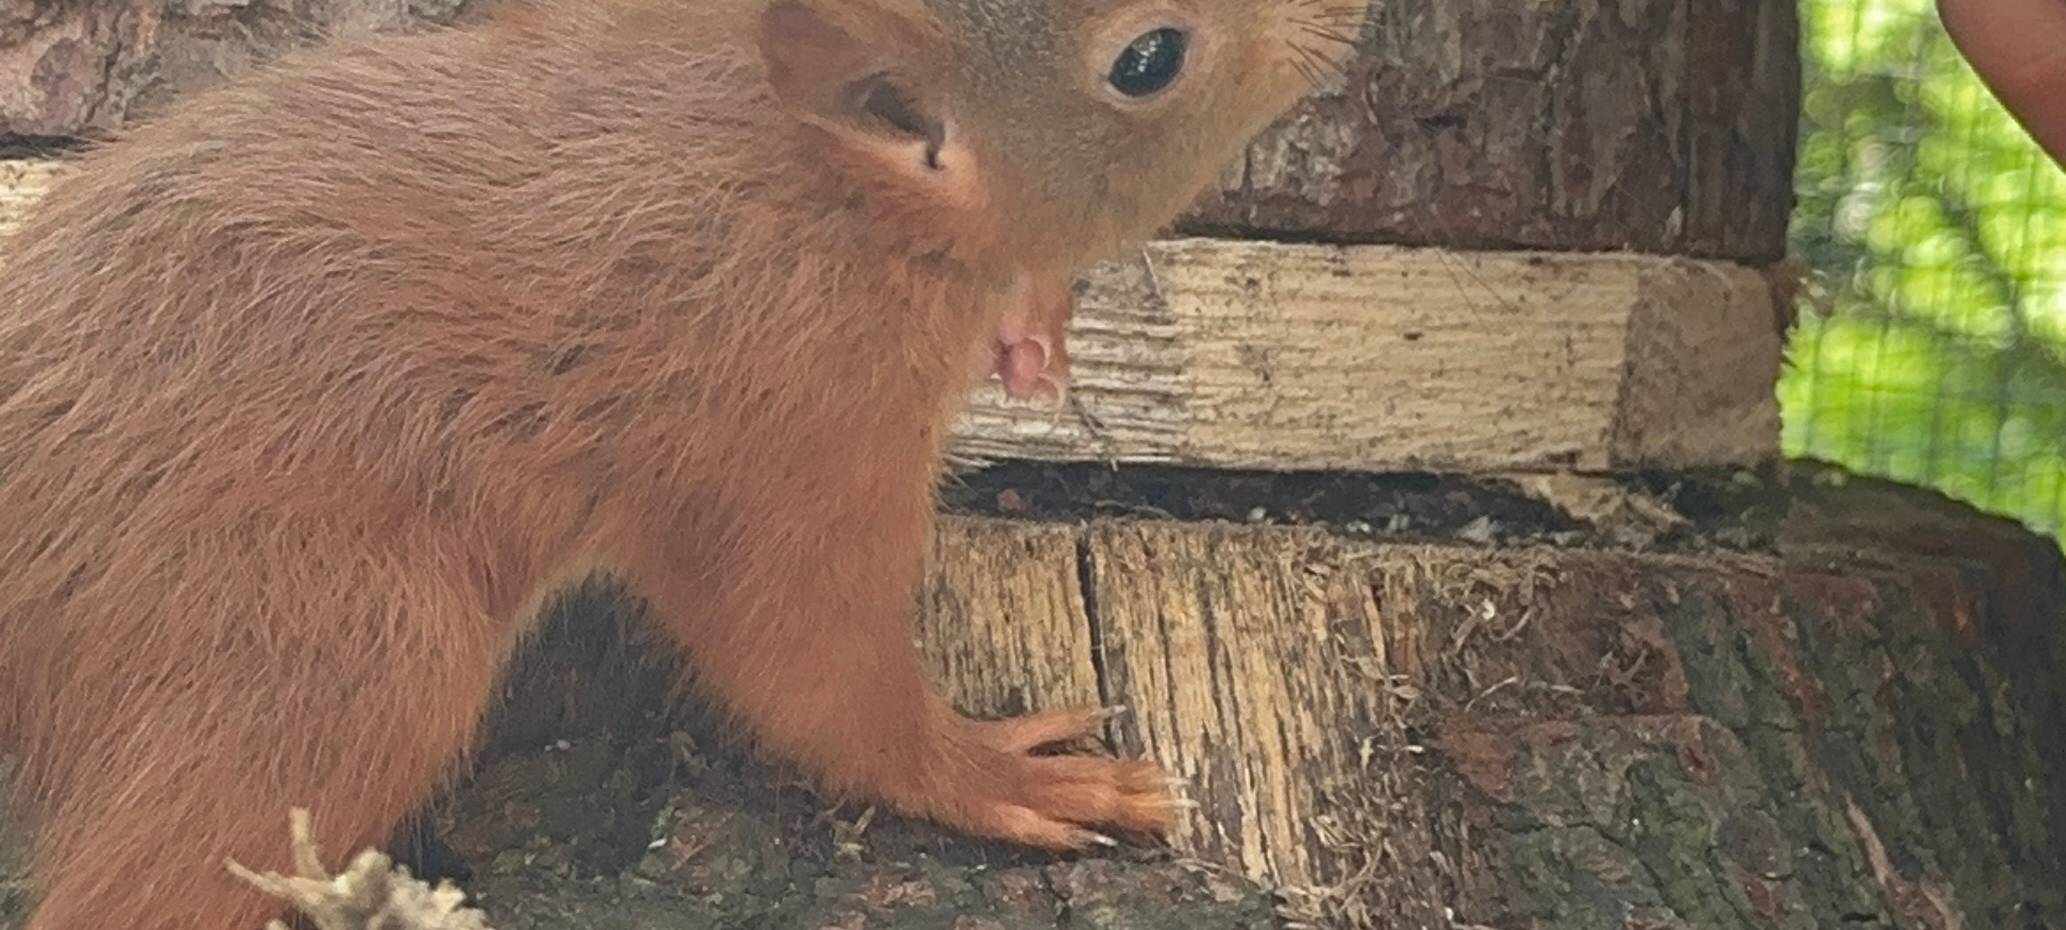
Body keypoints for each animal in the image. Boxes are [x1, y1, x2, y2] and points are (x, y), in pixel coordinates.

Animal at [0, 0, 1365, 927]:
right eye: (1147, 60)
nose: (1344, 18)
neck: (826, 192)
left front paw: (1040, 325)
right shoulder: (789, 421)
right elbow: (809, 669)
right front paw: (985, 771)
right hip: (321, 652)